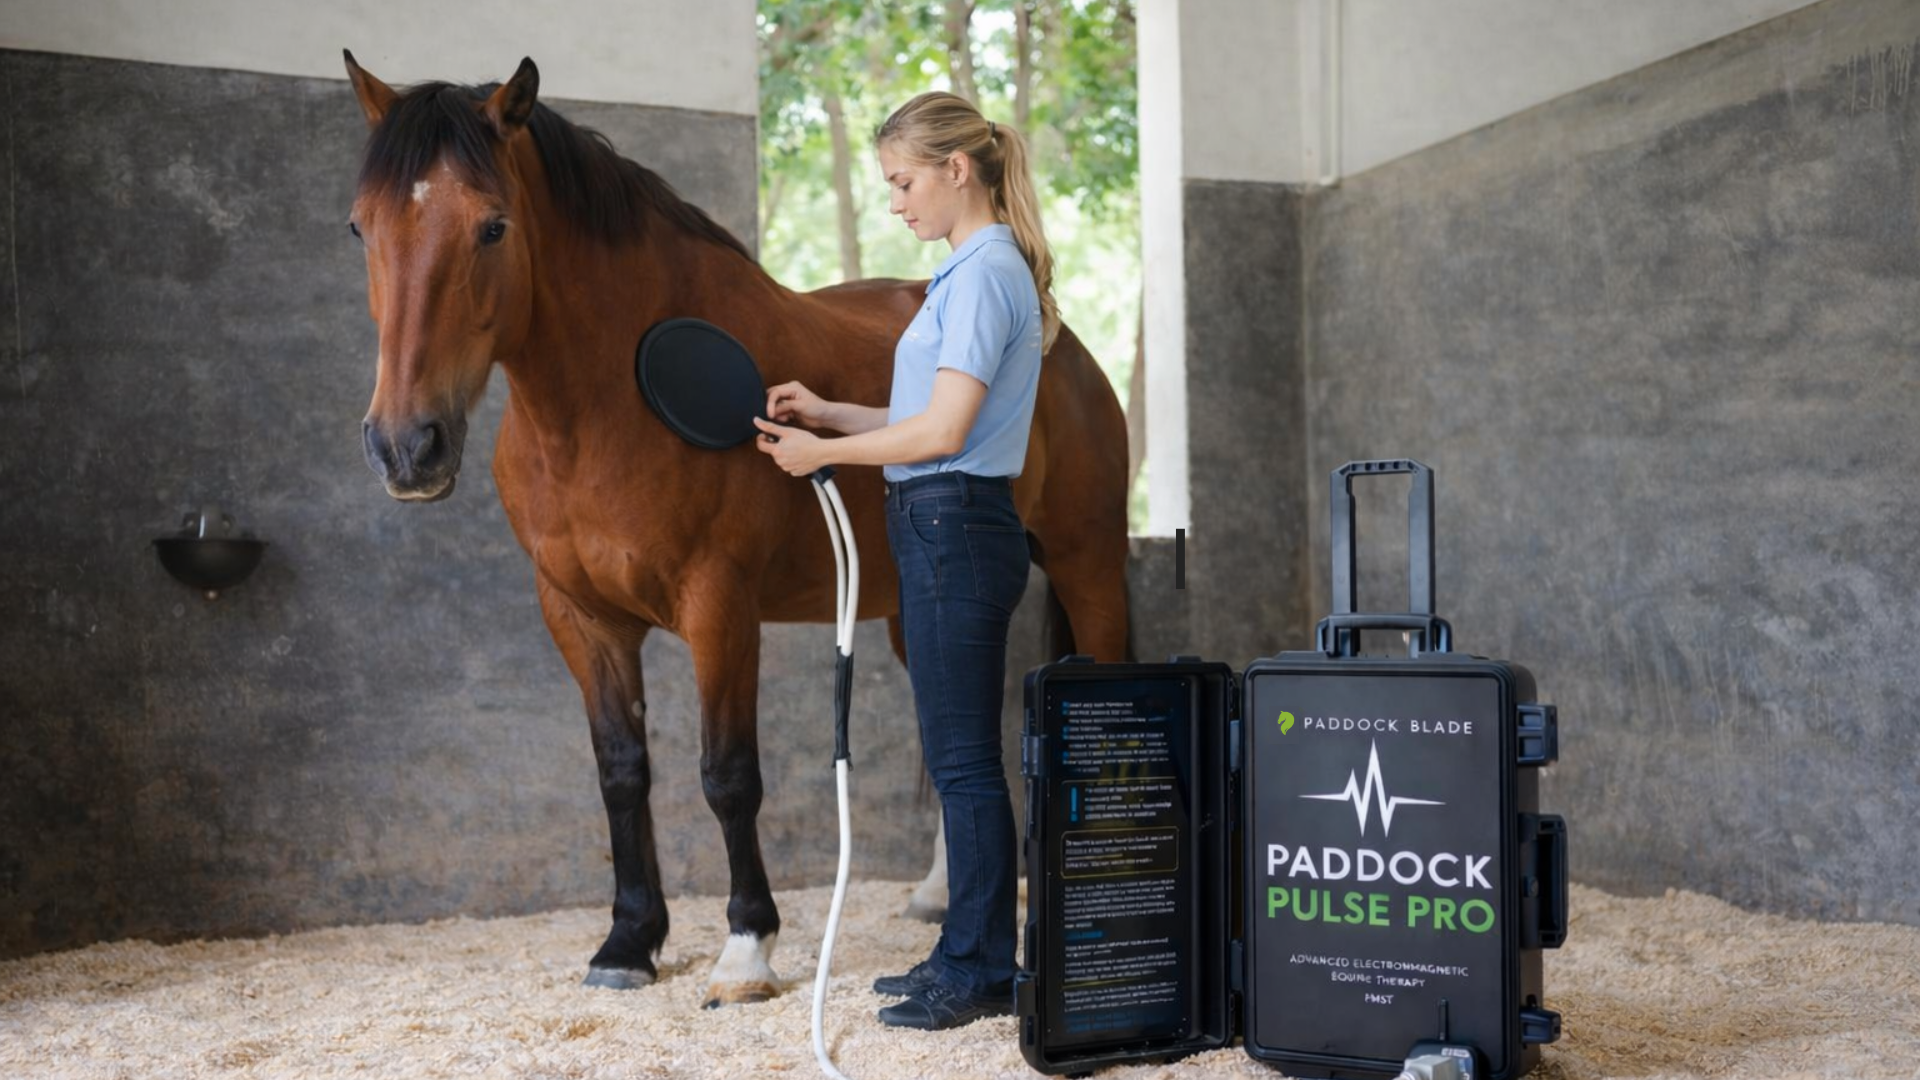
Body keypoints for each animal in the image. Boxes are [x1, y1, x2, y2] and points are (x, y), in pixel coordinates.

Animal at [341, 53, 1131, 1005]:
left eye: (492, 227)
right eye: (360, 227)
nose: (404, 446)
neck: (600, 408)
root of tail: (1063, 338)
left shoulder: (718, 607)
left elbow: (727, 775)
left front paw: (747, 949)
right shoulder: (579, 617)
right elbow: (621, 771)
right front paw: (628, 943)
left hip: (1088, 563)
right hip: (914, 607)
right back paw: (938, 896)